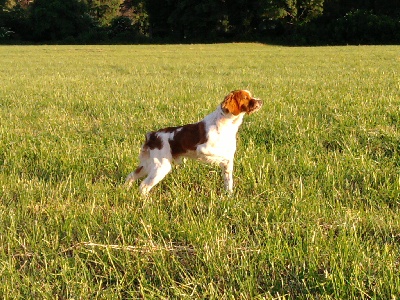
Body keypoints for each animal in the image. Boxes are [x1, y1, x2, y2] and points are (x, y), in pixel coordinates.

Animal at [126, 89, 262, 195]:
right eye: (245, 97)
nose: (260, 101)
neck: (228, 123)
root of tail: (152, 135)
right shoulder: (203, 150)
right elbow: (223, 158)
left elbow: (228, 181)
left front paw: (229, 197)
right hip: (161, 166)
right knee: (143, 186)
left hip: (149, 164)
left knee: (131, 176)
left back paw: (124, 190)